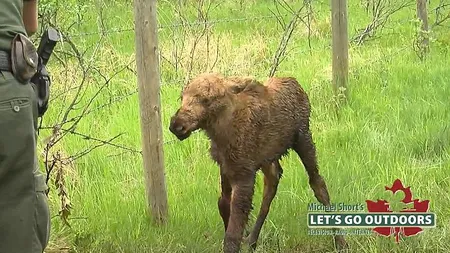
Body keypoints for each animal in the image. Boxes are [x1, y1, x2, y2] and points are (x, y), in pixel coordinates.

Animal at [169, 72, 348, 252]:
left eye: (207, 99)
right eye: (182, 97)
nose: (177, 125)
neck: (221, 134)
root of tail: (295, 82)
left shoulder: (245, 173)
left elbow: (234, 228)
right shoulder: (226, 168)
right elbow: (223, 204)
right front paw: (244, 234)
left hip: (303, 138)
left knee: (317, 183)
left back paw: (340, 241)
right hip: (268, 158)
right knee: (272, 183)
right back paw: (252, 240)